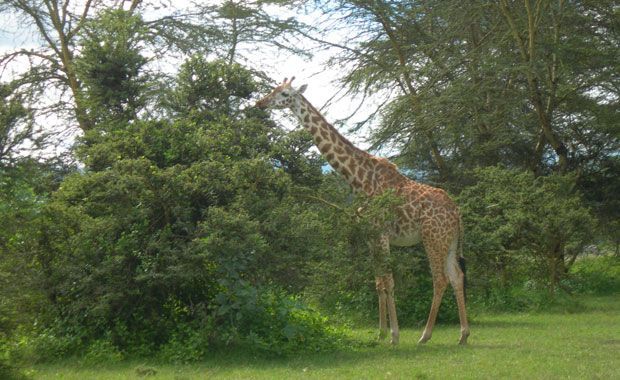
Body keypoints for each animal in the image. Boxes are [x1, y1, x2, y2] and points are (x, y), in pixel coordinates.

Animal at [256, 76, 470, 344]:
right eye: (273, 89)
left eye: (285, 94)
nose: (261, 103)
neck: (358, 180)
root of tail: (457, 212)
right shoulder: (369, 236)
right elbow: (378, 282)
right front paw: (380, 333)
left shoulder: (382, 234)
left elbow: (389, 281)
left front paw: (395, 335)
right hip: (449, 241)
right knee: (457, 276)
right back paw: (463, 335)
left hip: (432, 238)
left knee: (440, 279)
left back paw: (425, 335)